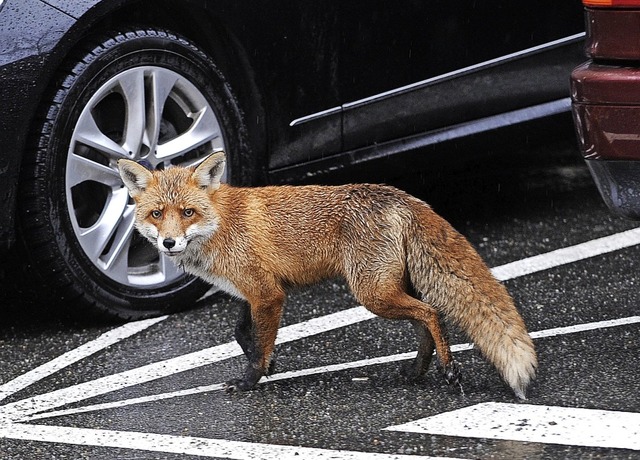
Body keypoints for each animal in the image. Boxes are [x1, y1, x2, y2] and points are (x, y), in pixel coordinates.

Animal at [119, 151, 536, 398]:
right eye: (157, 214)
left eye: (187, 212)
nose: (169, 243)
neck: (220, 224)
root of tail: (400, 195)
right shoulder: (254, 291)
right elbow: (243, 334)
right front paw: (268, 363)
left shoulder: (267, 294)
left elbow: (257, 345)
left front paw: (250, 379)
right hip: (390, 289)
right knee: (426, 320)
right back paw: (416, 371)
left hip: (372, 294)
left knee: (432, 313)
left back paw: (450, 372)